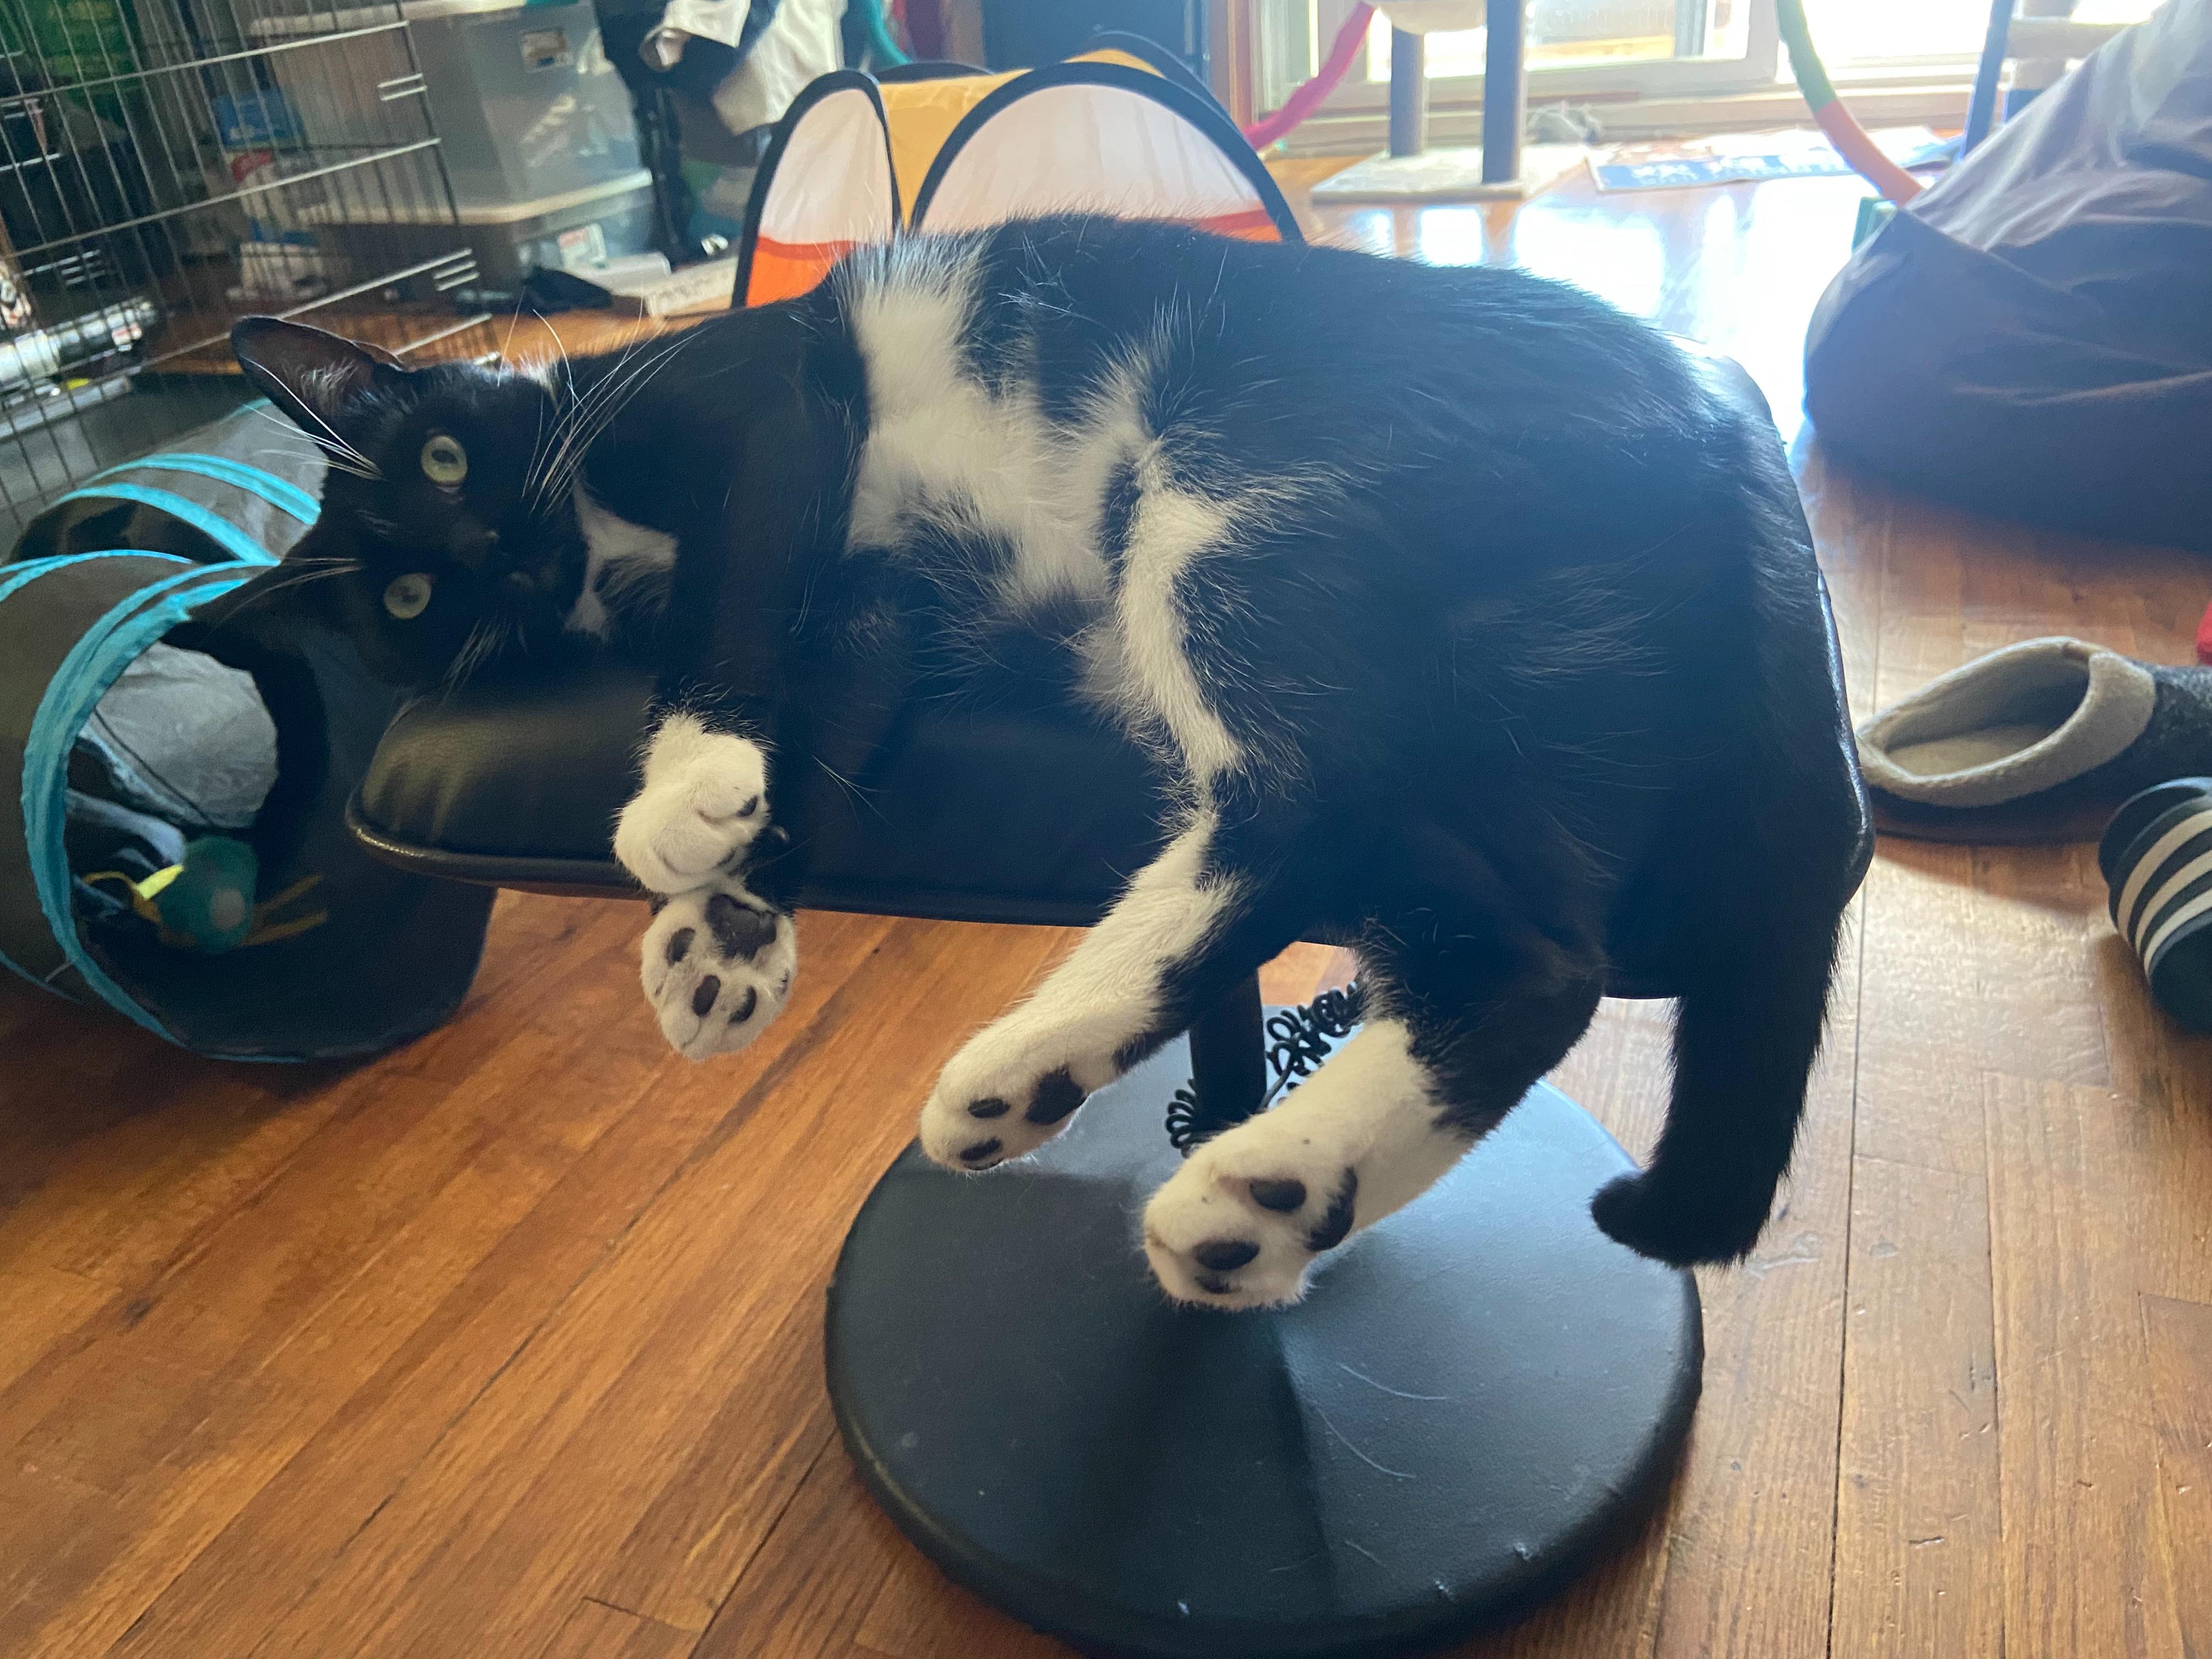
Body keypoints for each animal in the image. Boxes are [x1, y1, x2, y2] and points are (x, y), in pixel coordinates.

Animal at [234, 214, 1864, 1308]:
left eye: (447, 458)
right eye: (409, 600)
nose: (493, 557)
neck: (594, 545)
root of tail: (1744, 465)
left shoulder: (764, 403)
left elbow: (734, 599)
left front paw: (681, 796)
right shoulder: (880, 604)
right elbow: (829, 706)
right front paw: (728, 935)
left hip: (1232, 482)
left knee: (1433, 886)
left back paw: (1217, 1167)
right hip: (1503, 690)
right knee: (1435, 889)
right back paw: (1159, 1145)